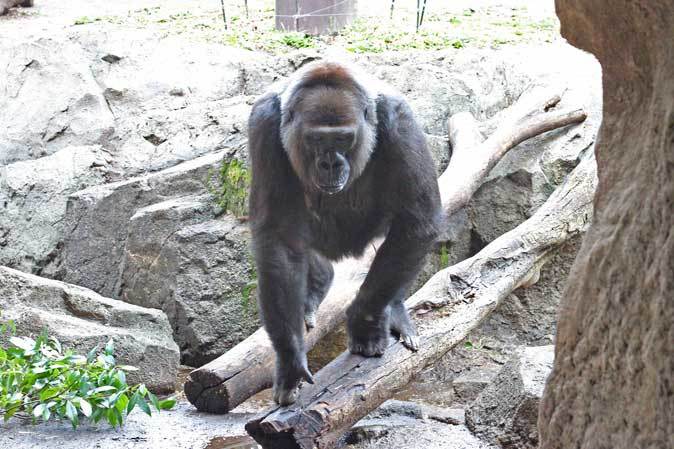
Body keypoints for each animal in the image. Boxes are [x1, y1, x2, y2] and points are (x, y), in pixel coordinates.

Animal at [247, 57, 440, 404]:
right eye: (316, 140)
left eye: (342, 139)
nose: (330, 164)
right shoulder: (265, 123)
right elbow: (279, 238)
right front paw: (290, 356)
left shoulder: (399, 119)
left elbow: (418, 221)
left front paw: (365, 321)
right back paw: (317, 283)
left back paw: (393, 308)